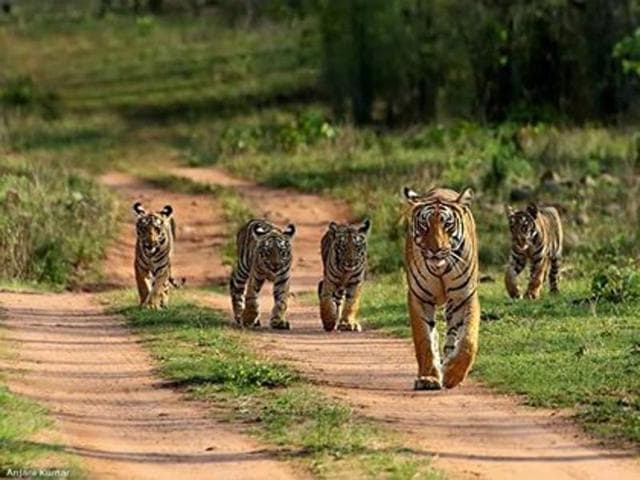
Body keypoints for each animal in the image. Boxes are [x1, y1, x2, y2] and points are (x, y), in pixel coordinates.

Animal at [403, 186, 480, 390]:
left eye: (447, 225)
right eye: (425, 225)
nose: (435, 250)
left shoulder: (465, 296)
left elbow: (468, 339)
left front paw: (453, 375)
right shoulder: (419, 298)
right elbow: (424, 340)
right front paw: (428, 378)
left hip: (454, 305)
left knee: (453, 336)